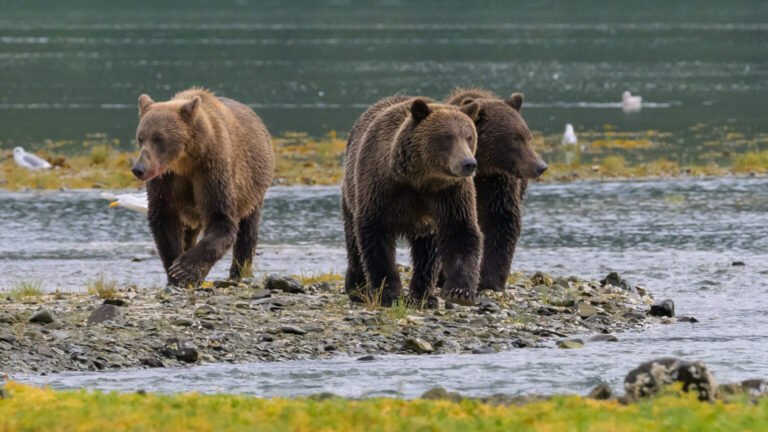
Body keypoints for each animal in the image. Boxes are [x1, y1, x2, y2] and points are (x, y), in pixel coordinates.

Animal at [134, 87, 274, 286]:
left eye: (158, 138)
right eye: (141, 138)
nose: (139, 169)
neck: (185, 161)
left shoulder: (211, 170)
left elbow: (221, 218)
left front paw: (183, 269)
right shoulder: (166, 180)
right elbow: (163, 219)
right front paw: (175, 273)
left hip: (253, 188)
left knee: (248, 231)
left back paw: (239, 272)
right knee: (188, 232)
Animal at [344, 95, 484, 308]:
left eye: (469, 136)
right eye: (447, 137)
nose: (469, 163)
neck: (420, 179)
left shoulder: (450, 194)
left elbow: (460, 231)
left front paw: (460, 292)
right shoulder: (381, 189)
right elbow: (375, 236)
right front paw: (389, 294)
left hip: (426, 225)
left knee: (427, 254)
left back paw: (424, 296)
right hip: (350, 192)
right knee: (353, 243)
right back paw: (356, 289)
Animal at [444, 88, 544, 292]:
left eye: (528, 137)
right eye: (515, 138)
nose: (540, 166)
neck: (482, 167)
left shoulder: (498, 183)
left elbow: (501, 220)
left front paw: (490, 281)